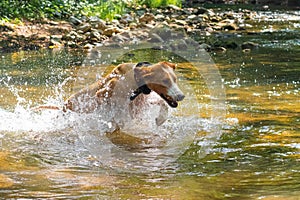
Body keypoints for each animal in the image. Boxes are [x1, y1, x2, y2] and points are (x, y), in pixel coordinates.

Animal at [35, 61, 185, 126]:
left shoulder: (140, 103)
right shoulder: (102, 93)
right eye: (164, 81)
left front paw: (161, 119)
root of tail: (63, 106)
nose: (181, 96)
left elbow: (162, 104)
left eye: (175, 79)